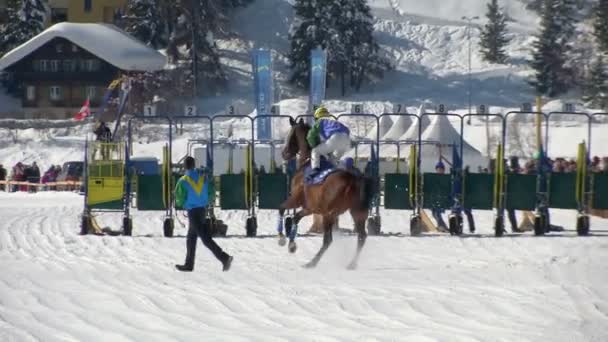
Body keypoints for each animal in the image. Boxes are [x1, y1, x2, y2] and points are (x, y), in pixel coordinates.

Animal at [278, 117, 372, 270]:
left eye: (290, 135)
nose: (284, 153)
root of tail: (352, 180)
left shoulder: (298, 201)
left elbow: (283, 210)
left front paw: (284, 241)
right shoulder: (311, 208)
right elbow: (294, 217)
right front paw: (290, 244)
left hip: (330, 214)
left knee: (328, 240)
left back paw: (311, 262)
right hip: (357, 212)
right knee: (361, 236)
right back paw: (351, 263)